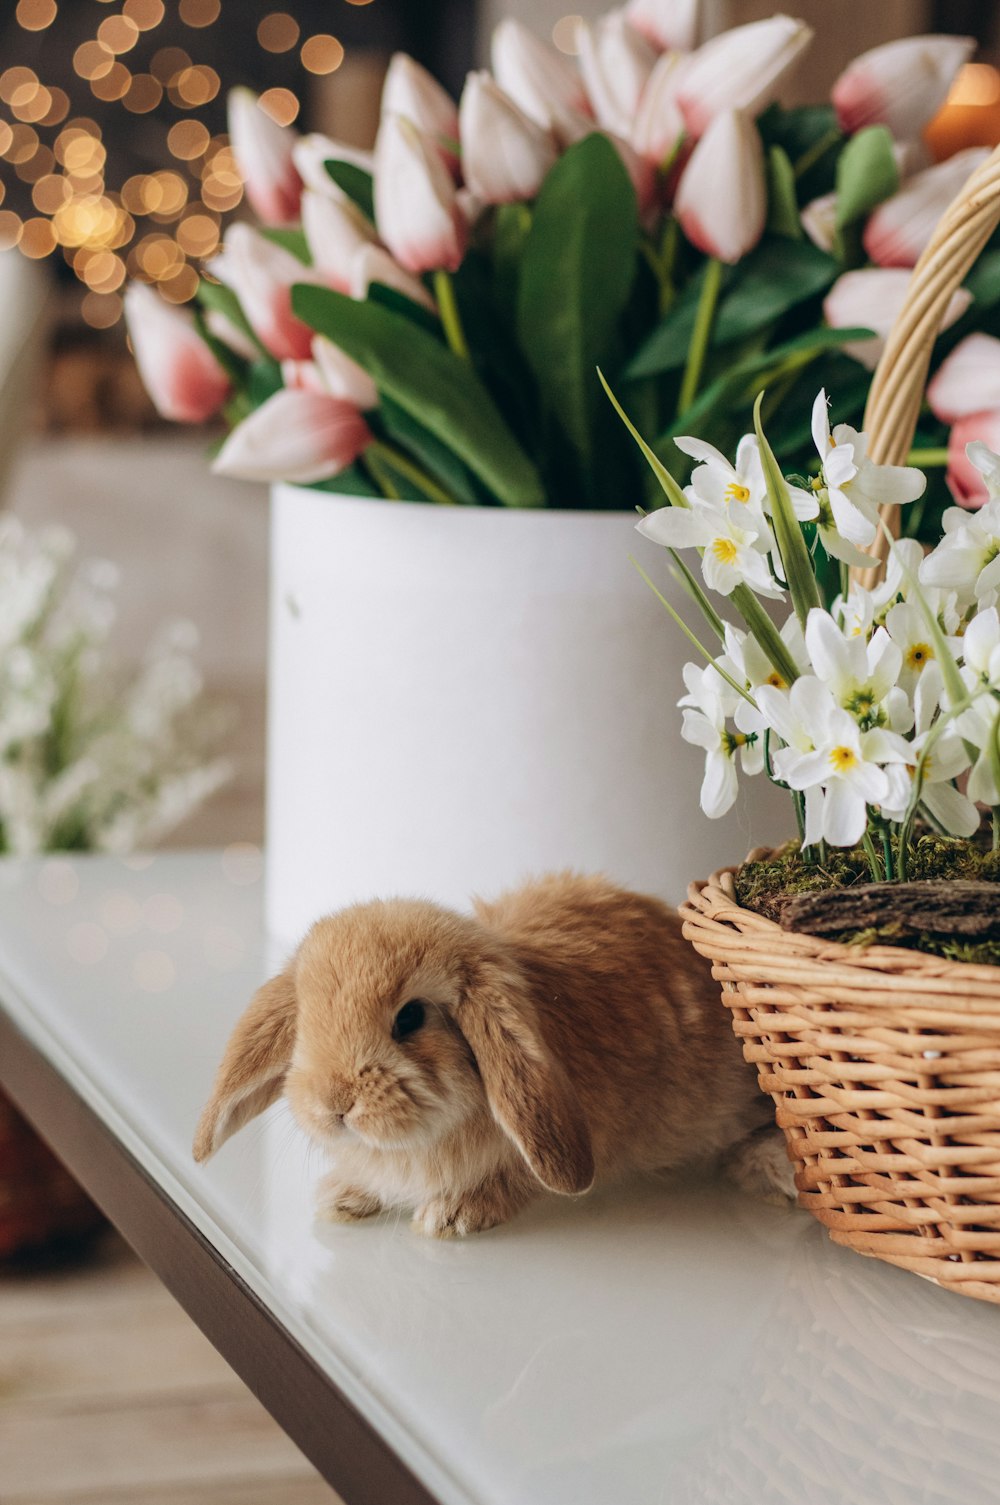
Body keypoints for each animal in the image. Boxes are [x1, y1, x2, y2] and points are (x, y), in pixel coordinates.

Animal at [192, 872, 789, 1234]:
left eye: (410, 1018)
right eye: (305, 1021)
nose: (333, 1105)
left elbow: (511, 1179)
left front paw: (450, 1217)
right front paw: (341, 1198)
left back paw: (771, 1169)